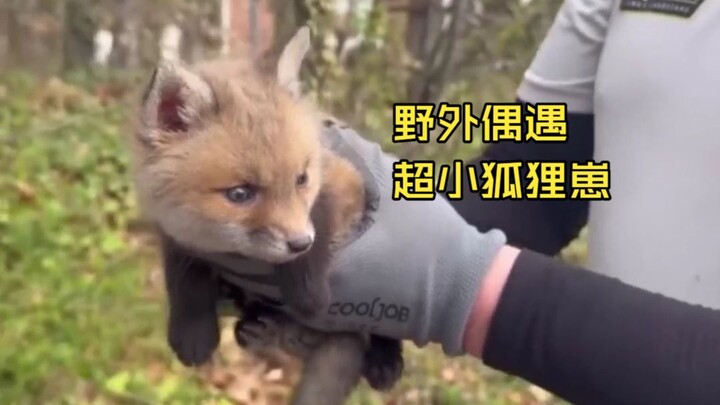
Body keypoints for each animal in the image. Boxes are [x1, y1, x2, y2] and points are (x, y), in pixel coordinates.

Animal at [128, 26, 403, 405]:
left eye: (302, 179)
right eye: (240, 194)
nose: (299, 243)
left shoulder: (344, 182)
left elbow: (320, 218)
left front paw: (308, 292)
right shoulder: (173, 231)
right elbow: (184, 274)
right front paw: (193, 331)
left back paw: (383, 358)